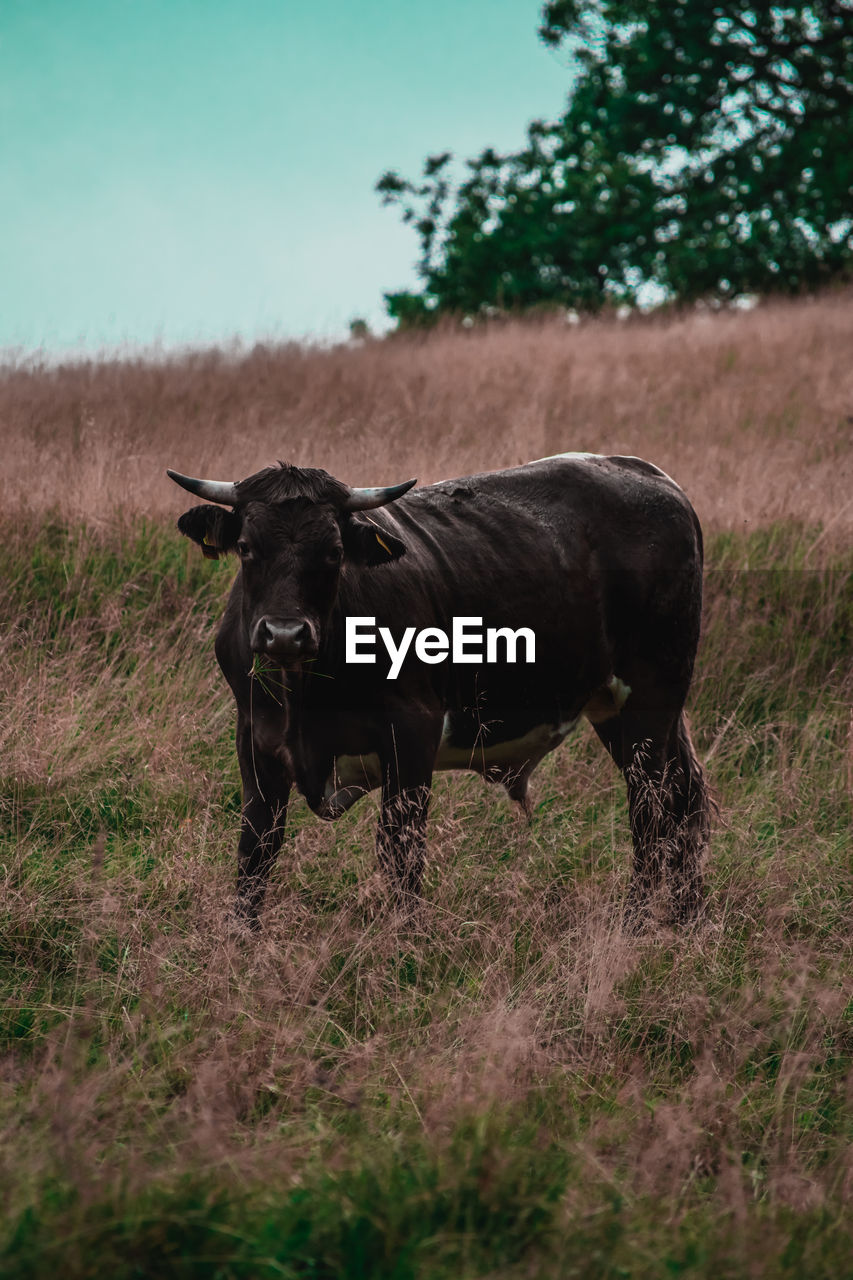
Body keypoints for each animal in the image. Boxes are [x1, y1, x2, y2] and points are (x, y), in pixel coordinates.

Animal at [169, 453, 706, 931]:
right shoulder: (255, 741)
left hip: (652, 697)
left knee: (651, 808)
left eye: (334, 553)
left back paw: (636, 923)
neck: (306, 694)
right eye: (245, 547)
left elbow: (400, 849)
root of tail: (651, 476)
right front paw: (241, 939)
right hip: (621, 710)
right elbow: (257, 846)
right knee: (683, 796)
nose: (284, 634)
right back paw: (687, 920)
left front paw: (406, 942)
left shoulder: (412, 734)